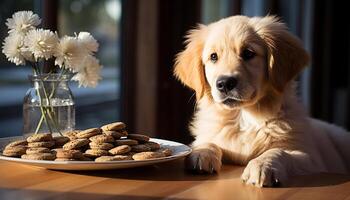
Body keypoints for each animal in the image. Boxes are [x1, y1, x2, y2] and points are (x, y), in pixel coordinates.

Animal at [175, 15, 350, 186]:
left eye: (248, 53)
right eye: (213, 57)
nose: (224, 83)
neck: (243, 118)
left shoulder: (310, 158)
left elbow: (278, 151)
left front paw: (262, 165)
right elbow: (207, 142)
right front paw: (201, 153)